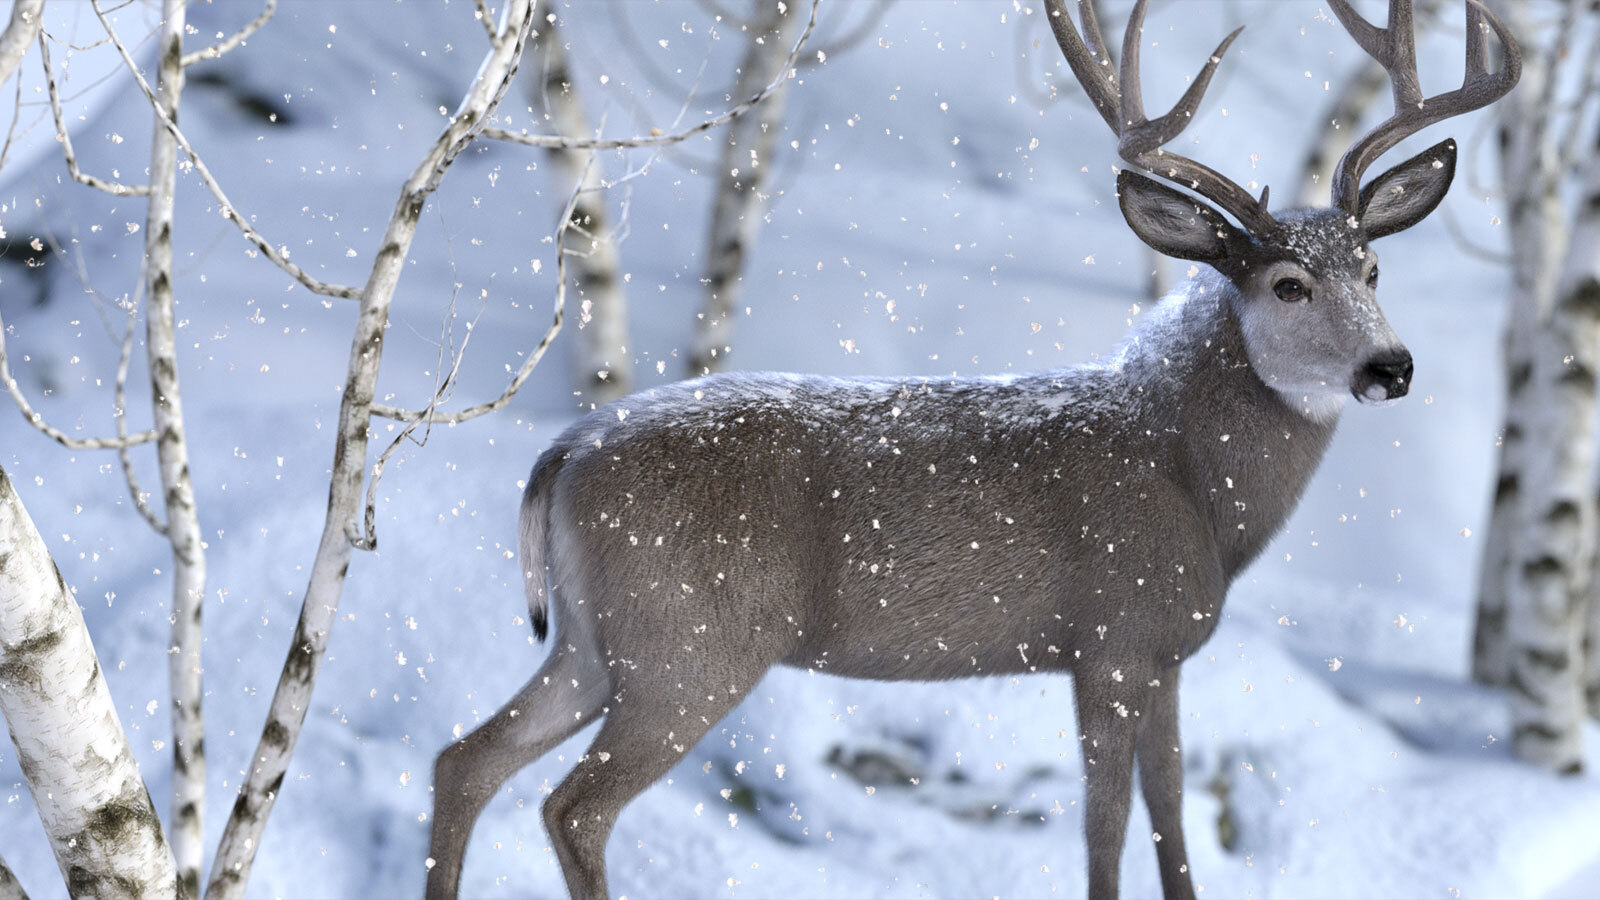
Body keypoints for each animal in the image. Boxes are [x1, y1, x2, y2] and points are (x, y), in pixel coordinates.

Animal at [426, 1, 1521, 897]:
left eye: (1373, 268)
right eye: (1288, 283)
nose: (1390, 366)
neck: (1194, 483)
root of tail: (563, 454)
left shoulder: (1163, 651)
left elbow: (1169, 817)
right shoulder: (1109, 635)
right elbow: (1105, 829)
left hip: (590, 641)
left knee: (463, 760)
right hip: (689, 644)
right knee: (574, 806)